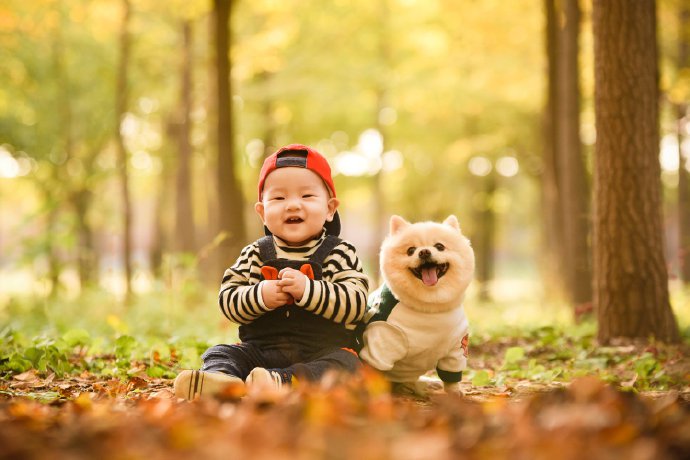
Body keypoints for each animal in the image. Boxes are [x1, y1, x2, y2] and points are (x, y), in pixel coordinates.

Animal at [354, 216, 472, 396]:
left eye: (440, 246)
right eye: (411, 250)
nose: (424, 252)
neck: (429, 308)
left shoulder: (457, 347)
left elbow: (451, 375)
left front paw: (453, 392)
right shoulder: (382, 342)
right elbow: (375, 372)